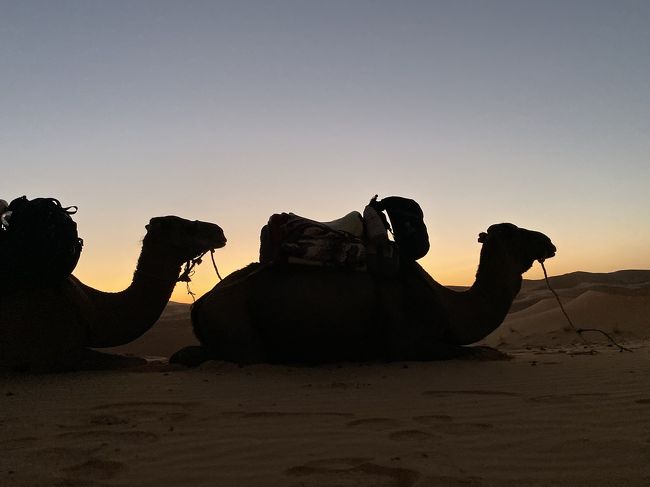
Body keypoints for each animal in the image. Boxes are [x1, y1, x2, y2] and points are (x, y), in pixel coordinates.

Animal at [175, 222, 556, 366]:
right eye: (514, 232)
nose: (548, 241)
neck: (448, 307)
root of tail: (201, 303)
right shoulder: (410, 344)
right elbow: (475, 351)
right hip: (238, 327)